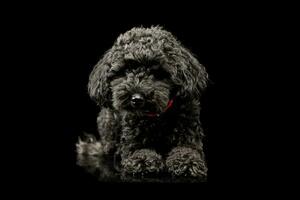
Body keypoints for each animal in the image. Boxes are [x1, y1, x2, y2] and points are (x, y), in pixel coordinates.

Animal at [78, 25, 207, 180]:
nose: (137, 98)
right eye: (126, 70)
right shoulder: (131, 141)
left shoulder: (189, 133)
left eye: (158, 72)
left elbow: (188, 150)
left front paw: (188, 162)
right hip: (108, 119)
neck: (156, 118)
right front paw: (143, 161)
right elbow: (138, 151)